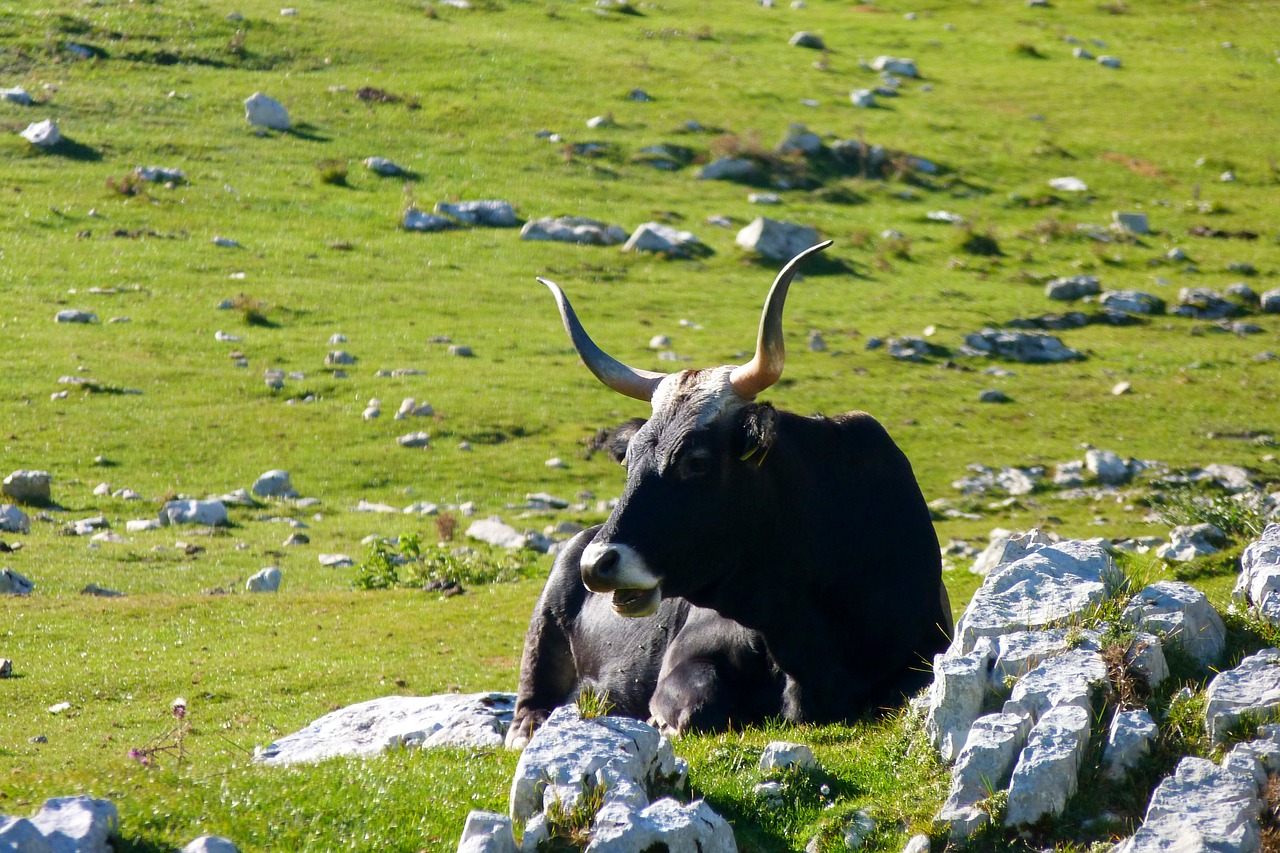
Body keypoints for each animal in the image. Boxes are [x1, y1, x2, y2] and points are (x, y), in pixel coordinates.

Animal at [504, 240, 957, 742]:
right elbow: (693, 707)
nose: (597, 564)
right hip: (543, 632)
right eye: (630, 458)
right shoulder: (682, 665)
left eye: (697, 461)